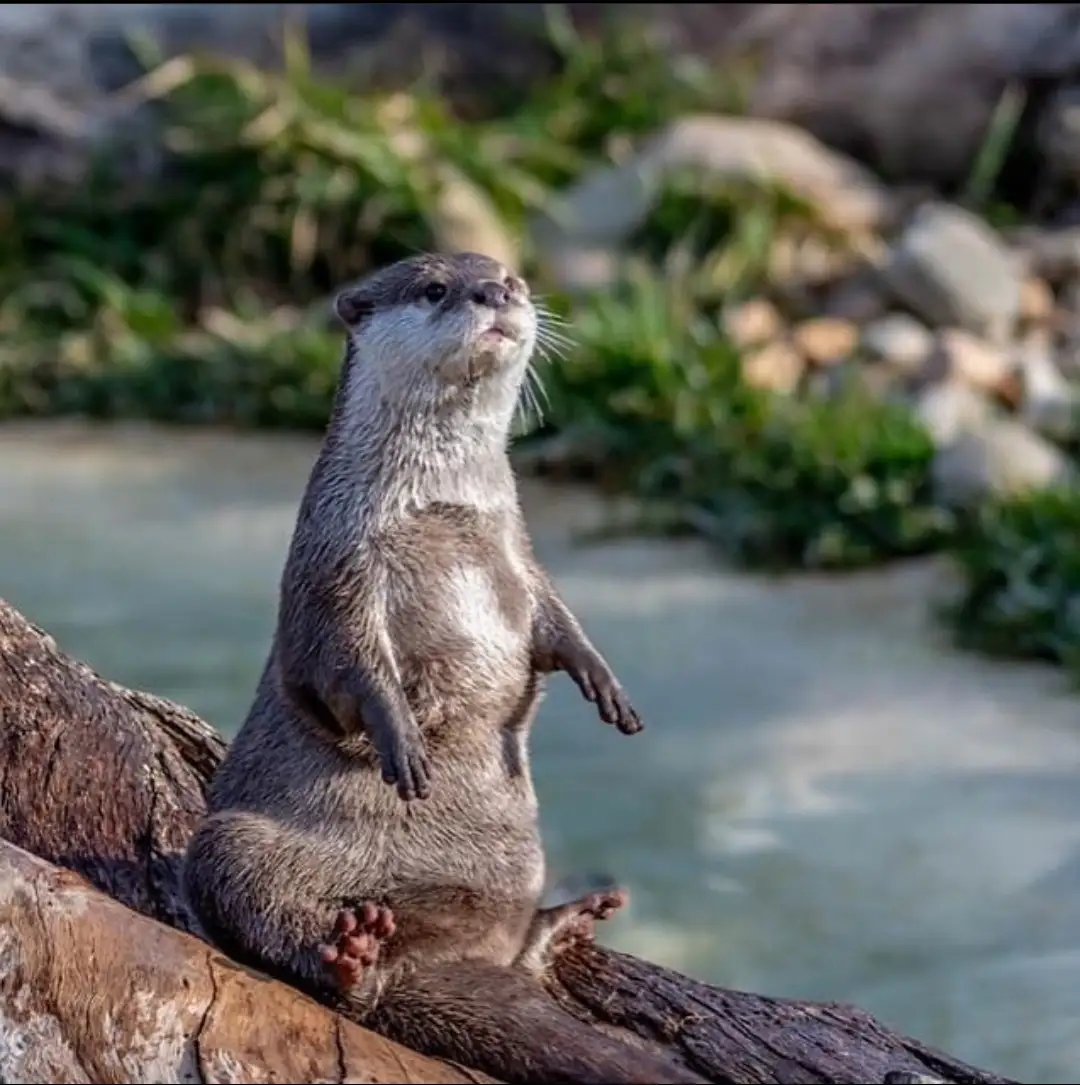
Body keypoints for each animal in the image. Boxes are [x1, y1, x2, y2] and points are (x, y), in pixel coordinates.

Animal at [182, 252, 701, 1085]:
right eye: (433, 289)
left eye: (512, 280)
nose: (496, 293)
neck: (441, 511)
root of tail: (416, 959)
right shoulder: (334, 569)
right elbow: (342, 664)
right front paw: (401, 739)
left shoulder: (519, 554)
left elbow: (556, 622)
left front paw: (602, 678)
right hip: (234, 846)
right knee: (272, 912)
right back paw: (348, 958)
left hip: (518, 861)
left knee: (510, 945)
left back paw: (563, 919)